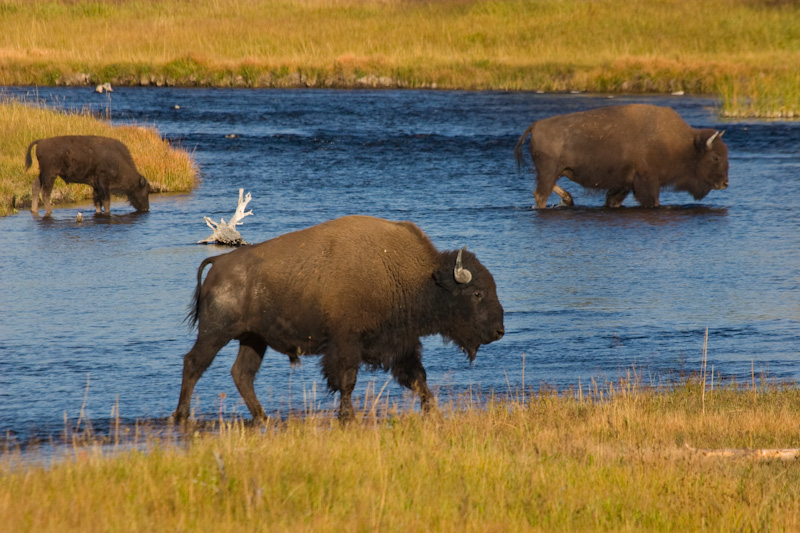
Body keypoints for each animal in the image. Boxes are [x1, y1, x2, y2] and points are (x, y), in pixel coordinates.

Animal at [174, 214, 504, 422]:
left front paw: (432, 410)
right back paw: (182, 415)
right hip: (215, 333)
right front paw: (347, 415)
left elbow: (418, 378)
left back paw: (262, 416)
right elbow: (347, 381)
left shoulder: (402, 344)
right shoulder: (346, 344)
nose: (499, 331)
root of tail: (219, 263)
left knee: (242, 373)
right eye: (477, 293)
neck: (417, 276)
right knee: (194, 363)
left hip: (253, 339)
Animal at [512, 103, 732, 207]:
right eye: (715, 157)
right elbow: (653, 201)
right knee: (541, 194)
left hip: (556, 172)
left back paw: (569, 199)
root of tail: (536, 125)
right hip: (549, 172)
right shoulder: (647, 182)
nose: (725, 183)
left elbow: (613, 201)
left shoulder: (624, 185)